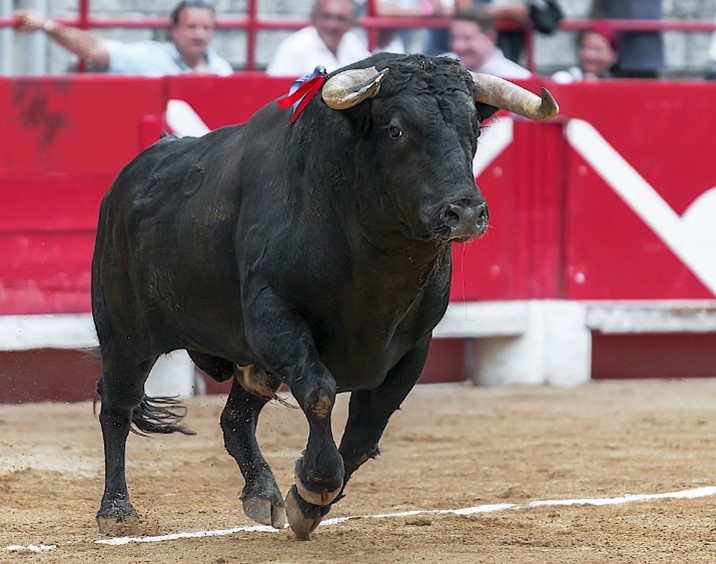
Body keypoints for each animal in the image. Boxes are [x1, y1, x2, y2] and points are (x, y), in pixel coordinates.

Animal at [92, 53, 556, 536]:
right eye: (396, 129)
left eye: (474, 130)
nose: (464, 212)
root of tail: (128, 178)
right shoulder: (276, 318)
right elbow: (320, 392)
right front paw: (316, 484)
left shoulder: (414, 347)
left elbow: (365, 432)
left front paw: (307, 503)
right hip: (125, 336)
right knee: (117, 409)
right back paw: (116, 511)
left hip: (252, 363)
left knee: (235, 418)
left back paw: (262, 494)